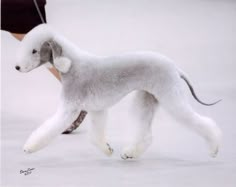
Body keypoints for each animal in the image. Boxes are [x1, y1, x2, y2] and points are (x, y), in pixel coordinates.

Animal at [16, 23, 221, 159]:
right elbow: (97, 135)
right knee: (146, 135)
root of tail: (175, 68)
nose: (17, 67)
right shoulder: (97, 109)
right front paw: (107, 150)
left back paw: (214, 148)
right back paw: (131, 153)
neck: (71, 65)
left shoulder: (69, 108)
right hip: (147, 98)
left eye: (34, 51)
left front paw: (29, 147)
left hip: (170, 96)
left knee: (202, 122)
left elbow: (50, 128)